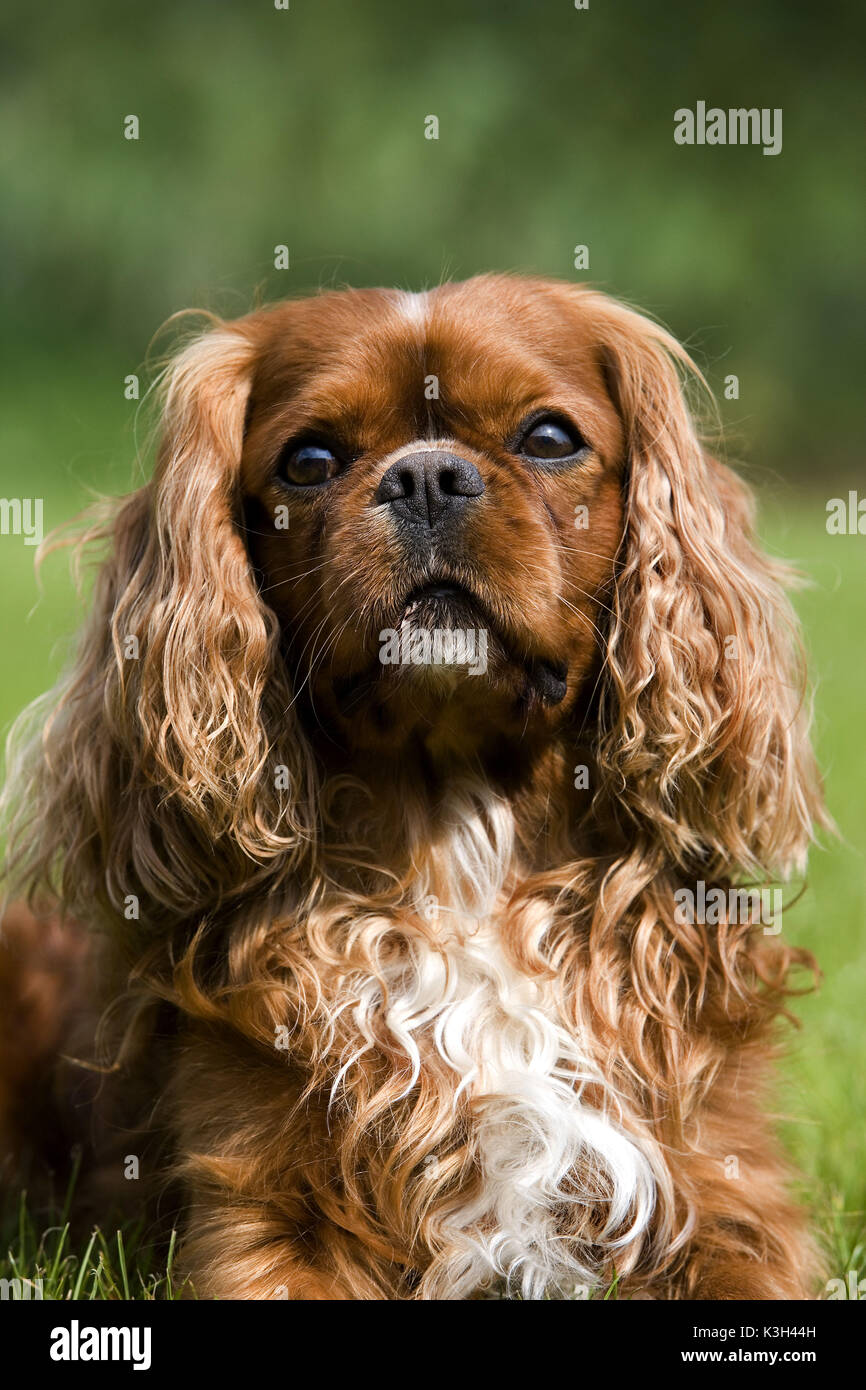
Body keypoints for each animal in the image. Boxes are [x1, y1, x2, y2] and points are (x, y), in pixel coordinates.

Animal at [0, 276, 828, 1295]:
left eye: (549, 438)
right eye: (310, 460)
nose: (426, 476)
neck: (459, 834)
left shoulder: (728, 1204)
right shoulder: (257, 1217)